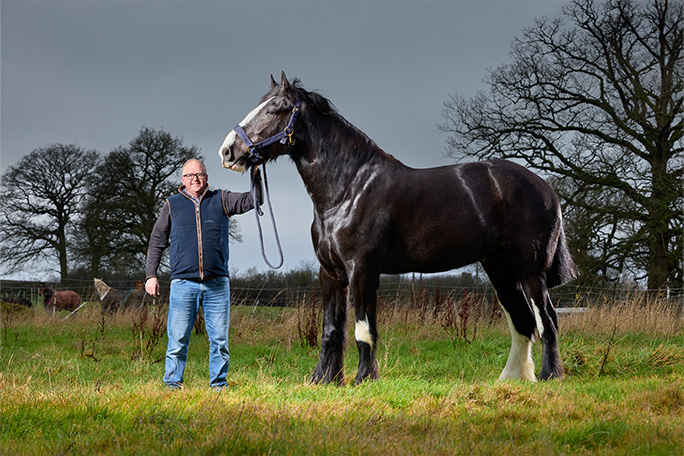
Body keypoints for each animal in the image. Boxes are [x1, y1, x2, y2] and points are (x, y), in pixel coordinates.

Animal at [218, 73, 577, 384]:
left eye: (274, 109)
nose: (228, 151)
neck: (348, 187)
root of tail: (545, 188)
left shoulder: (362, 269)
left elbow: (363, 330)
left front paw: (364, 379)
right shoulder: (330, 273)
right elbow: (331, 330)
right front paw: (323, 380)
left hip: (530, 271)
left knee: (547, 321)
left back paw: (550, 375)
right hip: (501, 269)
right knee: (523, 322)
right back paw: (512, 378)